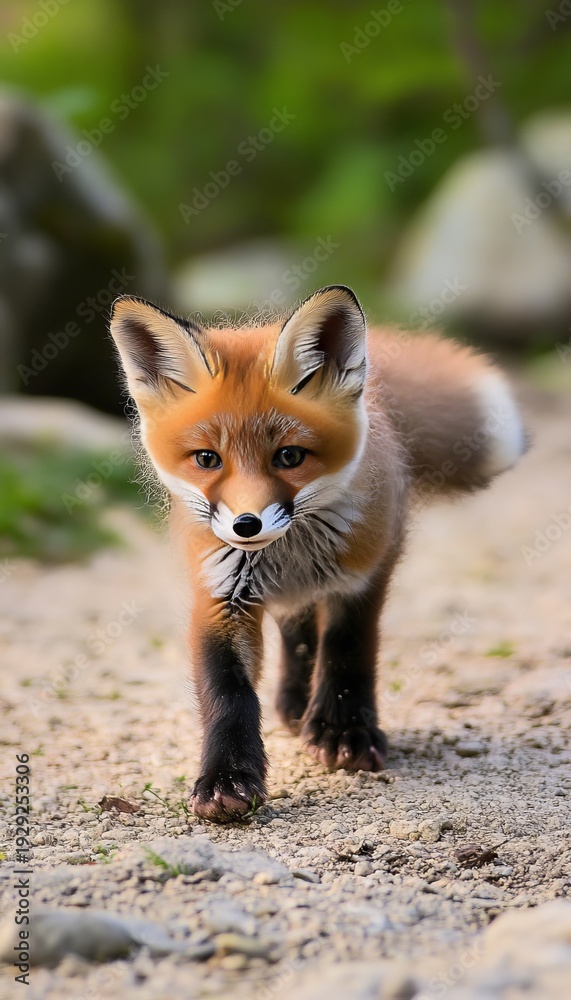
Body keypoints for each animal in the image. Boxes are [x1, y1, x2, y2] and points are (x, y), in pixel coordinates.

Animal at [109, 285, 526, 823]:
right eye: (207, 459)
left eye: (289, 456)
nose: (246, 526)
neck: (290, 556)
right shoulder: (219, 592)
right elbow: (228, 692)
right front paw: (226, 778)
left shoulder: (364, 573)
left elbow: (346, 649)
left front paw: (345, 732)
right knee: (295, 627)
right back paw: (292, 702)